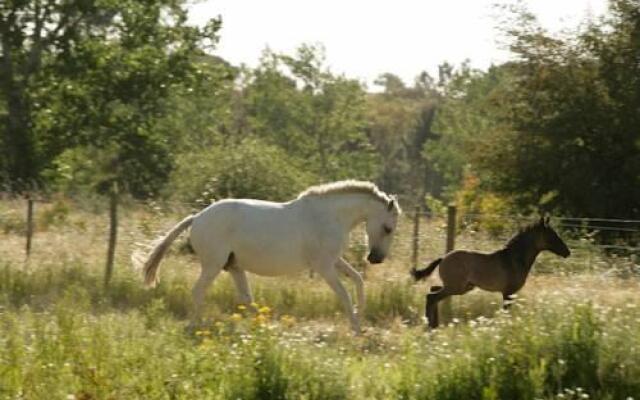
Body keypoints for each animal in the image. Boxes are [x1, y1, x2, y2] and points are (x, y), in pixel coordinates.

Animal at [133, 180, 402, 332]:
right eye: (388, 228)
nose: (376, 259)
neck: (329, 216)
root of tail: (197, 217)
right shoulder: (325, 266)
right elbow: (344, 294)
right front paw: (356, 328)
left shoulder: (334, 261)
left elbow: (358, 280)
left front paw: (361, 314)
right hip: (213, 265)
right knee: (199, 291)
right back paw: (193, 326)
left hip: (234, 267)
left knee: (246, 298)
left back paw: (264, 328)